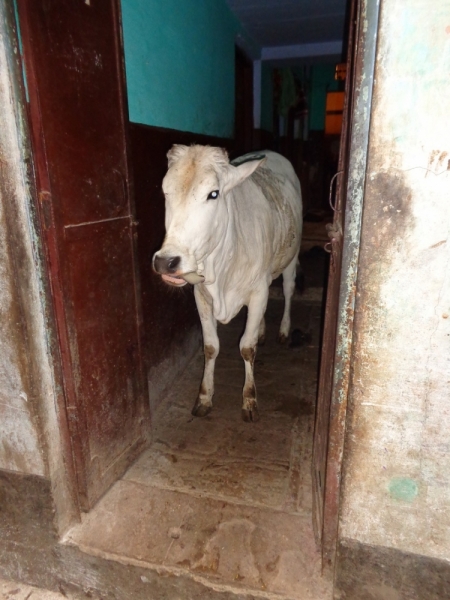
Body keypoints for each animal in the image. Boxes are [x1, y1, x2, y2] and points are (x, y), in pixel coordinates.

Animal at [152, 144, 302, 422]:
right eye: (165, 191)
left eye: (213, 194)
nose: (166, 262)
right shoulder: (201, 295)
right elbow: (211, 347)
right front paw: (204, 397)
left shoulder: (258, 291)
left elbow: (247, 347)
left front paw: (249, 400)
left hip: (290, 257)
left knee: (288, 291)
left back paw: (284, 331)